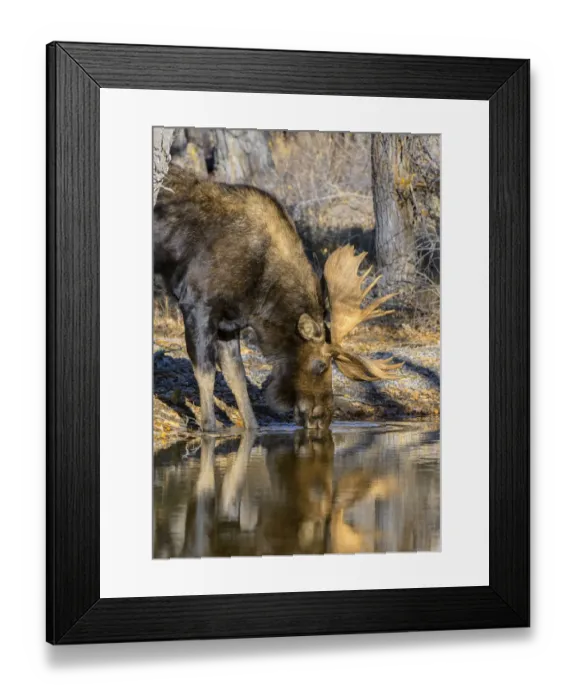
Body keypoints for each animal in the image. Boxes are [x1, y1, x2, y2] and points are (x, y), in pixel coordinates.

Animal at [153, 164, 403, 433]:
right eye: (321, 365)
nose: (323, 418)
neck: (259, 296)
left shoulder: (229, 323)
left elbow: (236, 376)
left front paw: (252, 426)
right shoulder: (196, 303)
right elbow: (205, 372)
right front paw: (209, 426)